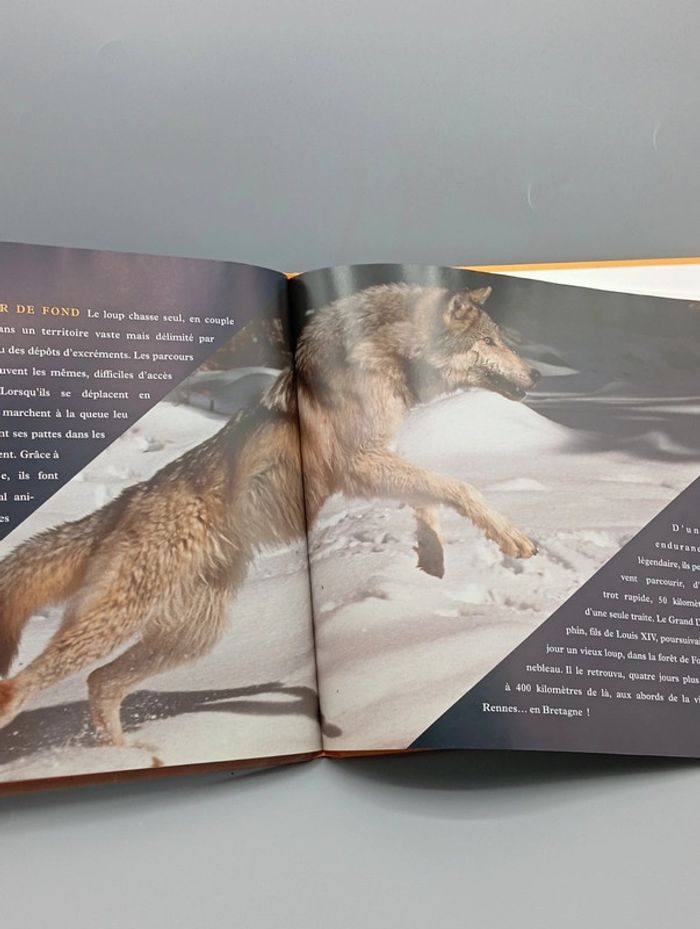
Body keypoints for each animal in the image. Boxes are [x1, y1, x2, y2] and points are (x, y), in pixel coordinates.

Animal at [0, 282, 539, 747]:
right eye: (489, 341)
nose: (536, 376)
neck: (384, 356)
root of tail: (123, 503)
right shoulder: (360, 464)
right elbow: (459, 486)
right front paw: (512, 539)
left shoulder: (375, 462)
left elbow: (430, 496)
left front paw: (433, 556)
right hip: (122, 625)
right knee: (25, 687)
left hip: (192, 637)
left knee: (100, 683)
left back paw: (127, 755)